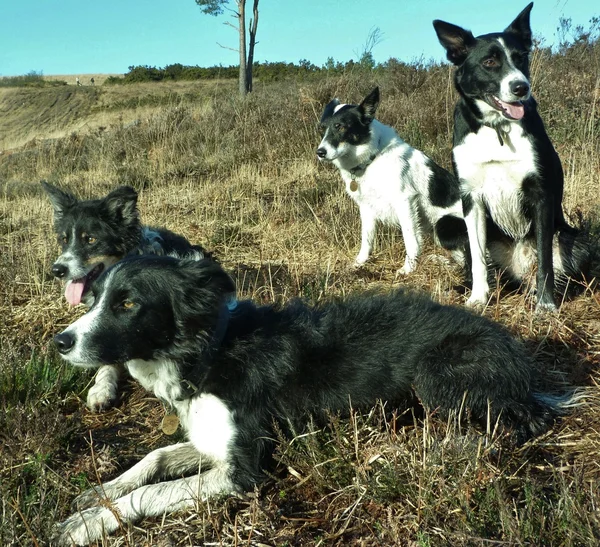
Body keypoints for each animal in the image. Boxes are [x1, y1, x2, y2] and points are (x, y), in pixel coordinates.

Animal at [51, 255, 576, 544]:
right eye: (93, 298)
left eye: (127, 303)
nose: (60, 342)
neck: (207, 351)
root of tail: (515, 351)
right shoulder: (213, 443)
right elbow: (154, 459)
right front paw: (97, 496)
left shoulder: (245, 471)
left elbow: (149, 493)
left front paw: (84, 526)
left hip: (437, 374)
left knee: (521, 422)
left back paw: (449, 448)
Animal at [316, 87, 466, 274]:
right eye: (322, 129)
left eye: (340, 126)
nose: (320, 152)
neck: (372, 158)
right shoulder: (366, 207)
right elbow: (366, 239)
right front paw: (359, 263)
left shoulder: (404, 202)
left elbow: (410, 239)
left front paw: (408, 269)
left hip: (443, 225)